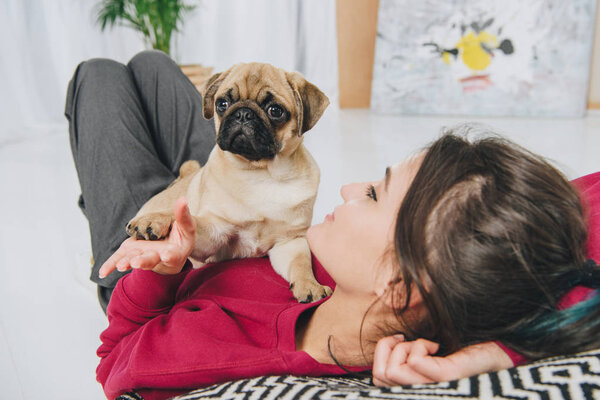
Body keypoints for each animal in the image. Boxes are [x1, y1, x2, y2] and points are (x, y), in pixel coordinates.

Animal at [126, 61, 332, 302]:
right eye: (222, 104)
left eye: (275, 111)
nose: (243, 113)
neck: (262, 173)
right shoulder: (215, 234)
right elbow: (188, 220)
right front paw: (159, 220)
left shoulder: (290, 242)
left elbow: (301, 264)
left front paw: (310, 285)